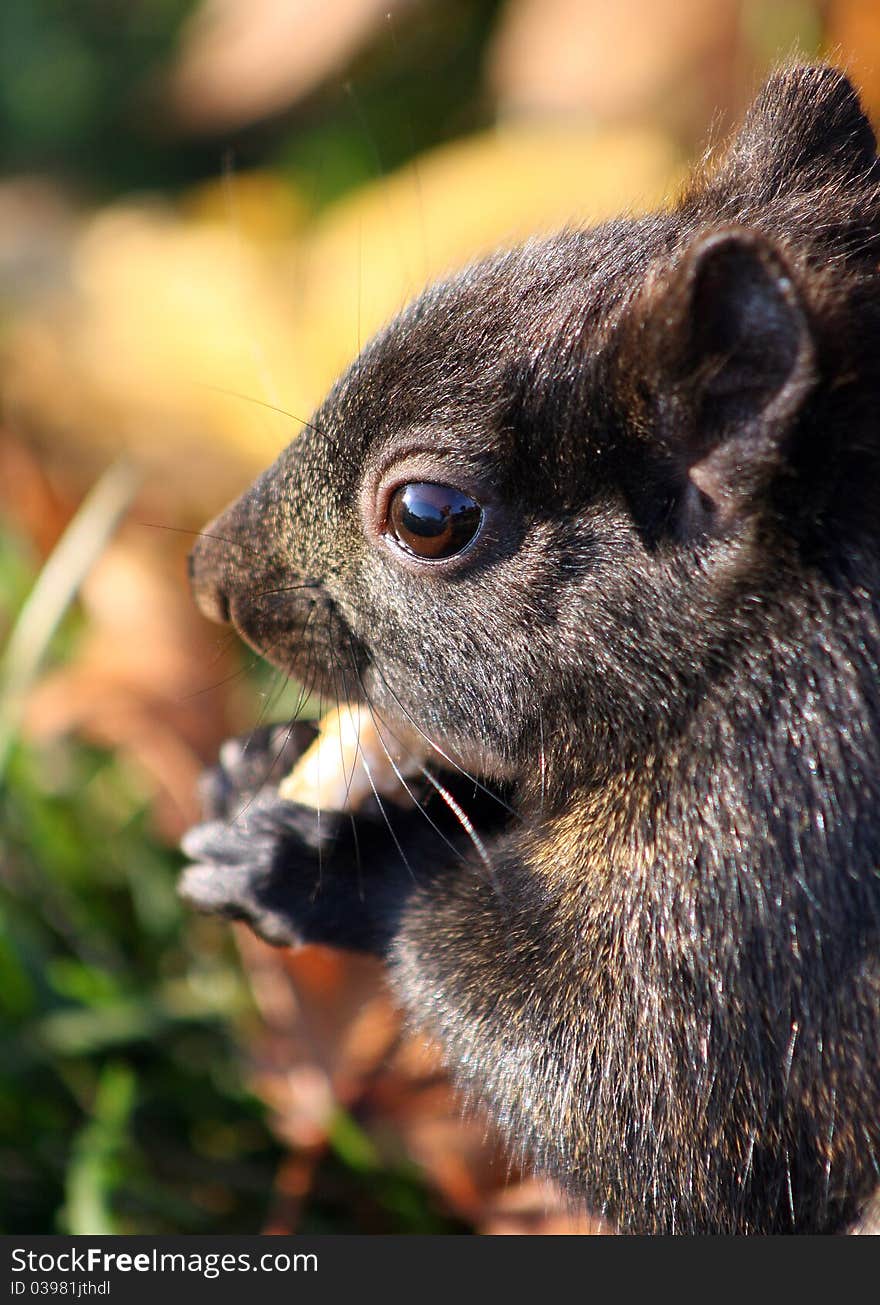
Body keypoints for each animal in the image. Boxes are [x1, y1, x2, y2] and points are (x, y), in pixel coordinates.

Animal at [180, 68, 877, 1231]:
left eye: (426, 516)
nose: (207, 579)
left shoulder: (773, 847)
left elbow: (630, 1100)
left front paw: (324, 860)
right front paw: (258, 770)